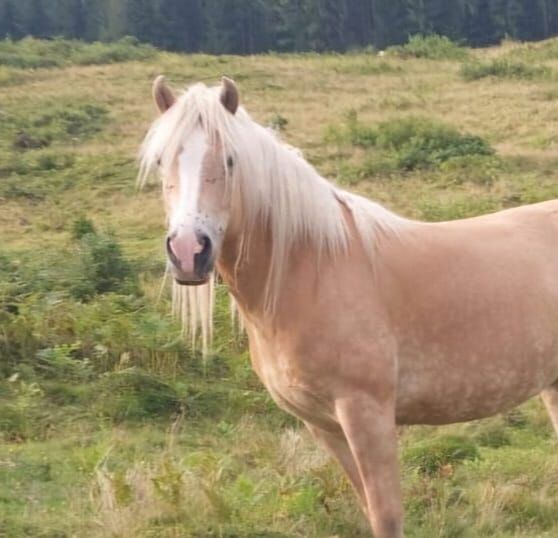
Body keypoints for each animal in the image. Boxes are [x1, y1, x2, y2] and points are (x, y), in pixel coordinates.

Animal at [142, 76, 558, 536]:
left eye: (230, 160)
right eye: (161, 161)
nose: (188, 252)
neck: (312, 271)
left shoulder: (367, 415)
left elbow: (386, 515)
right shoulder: (324, 425)